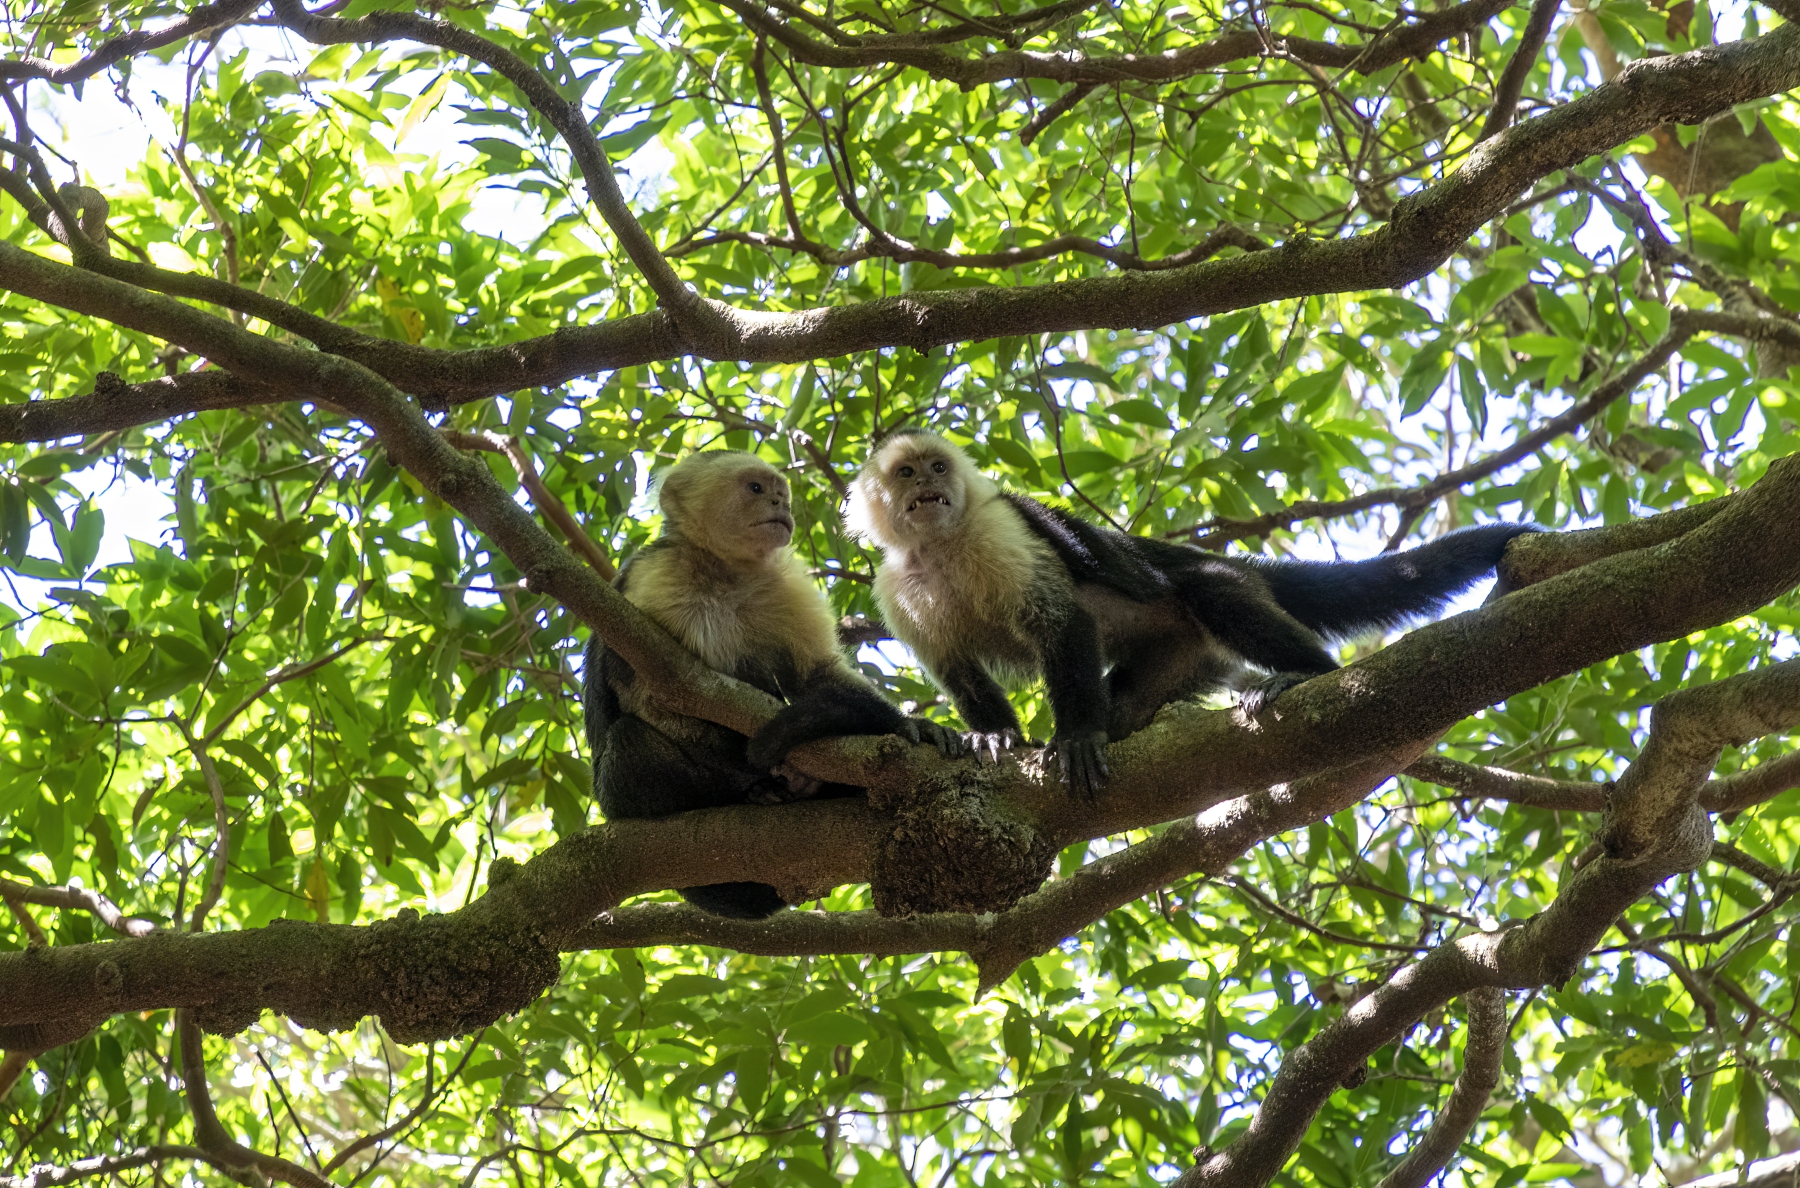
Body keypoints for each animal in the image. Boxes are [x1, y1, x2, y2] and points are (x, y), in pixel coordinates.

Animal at [583, 449, 957, 920]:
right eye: (756, 488)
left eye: (781, 491)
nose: (781, 504)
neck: (726, 570)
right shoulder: (655, 578)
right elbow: (650, 693)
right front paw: (751, 774)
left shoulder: (784, 585)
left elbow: (818, 675)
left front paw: (901, 723)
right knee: (627, 744)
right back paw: (749, 789)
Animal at [846, 429, 1535, 798]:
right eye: (905, 473)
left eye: (938, 467)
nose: (927, 487)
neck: (942, 546)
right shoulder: (896, 587)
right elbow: (958, 672)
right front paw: (994, 736)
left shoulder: (998, 531)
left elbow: (1060, 622)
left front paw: (1075, 737)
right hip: (1180, 661)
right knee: (1129, 705)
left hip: (1204, 601)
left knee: (1212, 594)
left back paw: (1309, 672)